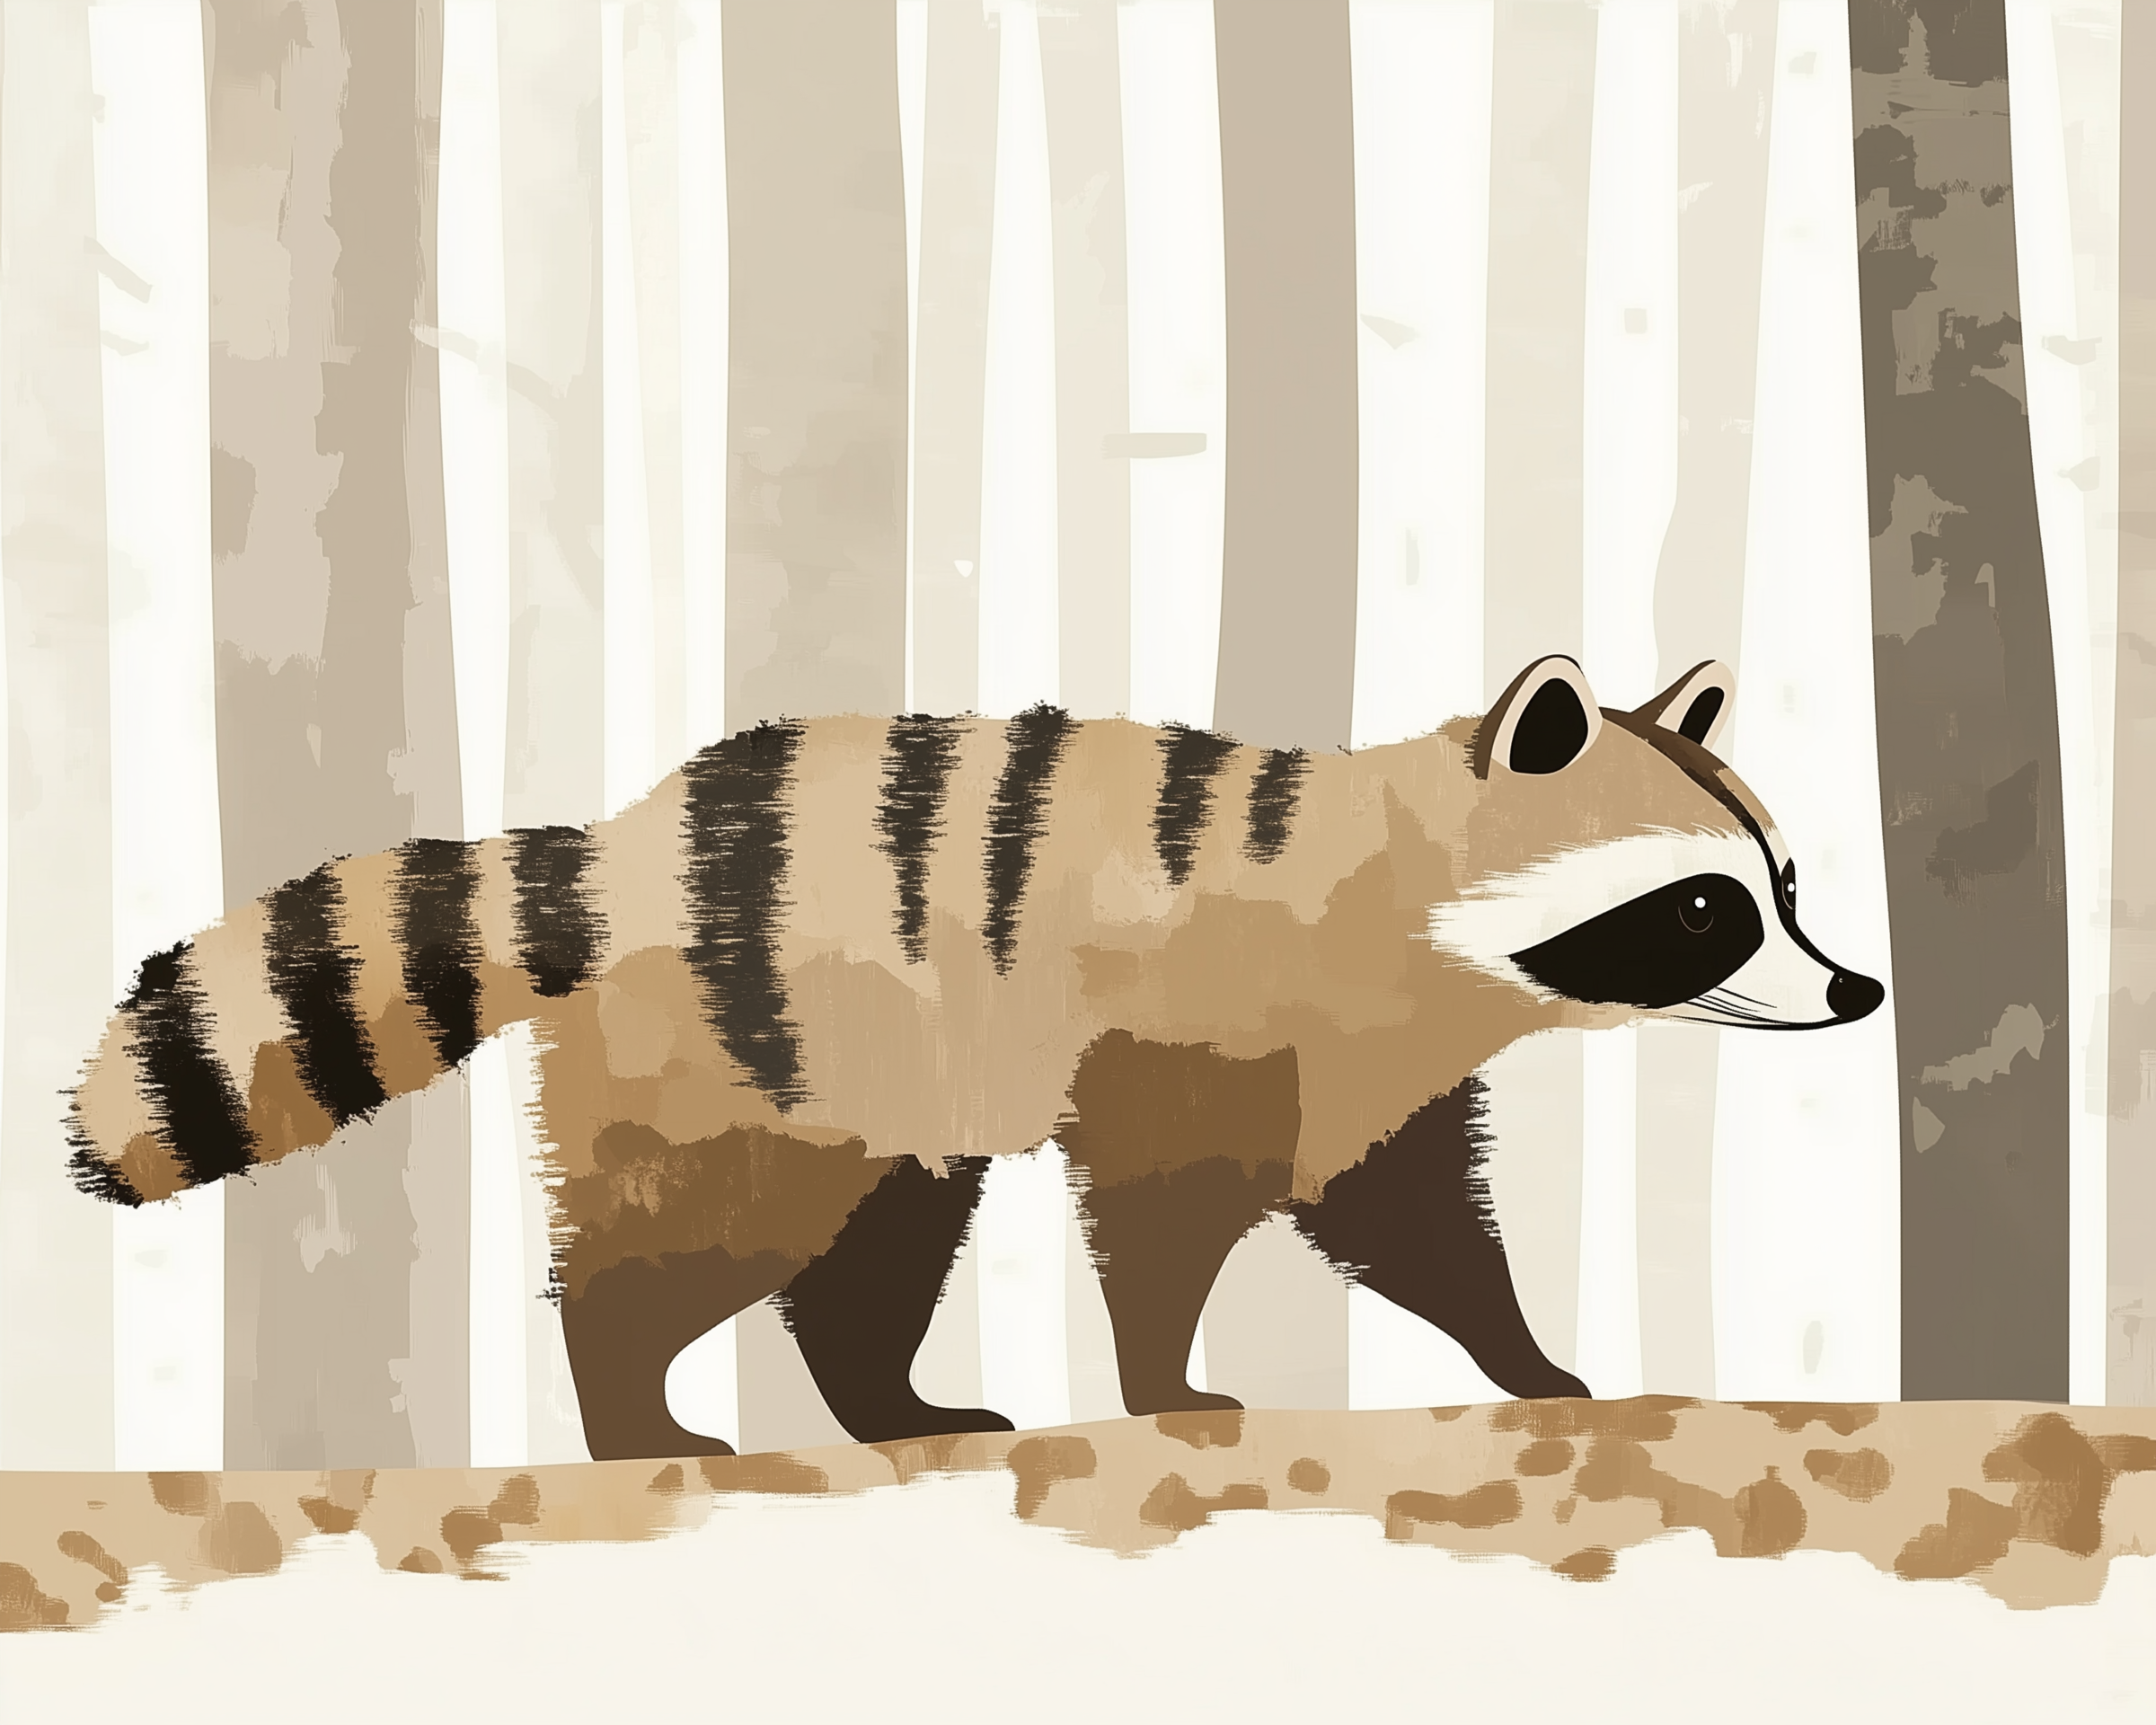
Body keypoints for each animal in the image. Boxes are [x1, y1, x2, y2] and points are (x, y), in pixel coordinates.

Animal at [67, 655, 1880, 1461]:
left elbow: (1408, 1214)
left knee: (877, 1240)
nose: (1858, 991)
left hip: (885, 1076)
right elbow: (1165, 1206)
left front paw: (1525, 1354)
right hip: (761, 1034)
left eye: (1785, 885)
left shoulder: (1381, 1067)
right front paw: (1164, 1380)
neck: (1394, 869)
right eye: (1709, 907)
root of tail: (607, 857)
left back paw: (890, 1401)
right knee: (698, 1227)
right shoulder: (1194, 1008)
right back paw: (632, 1406)